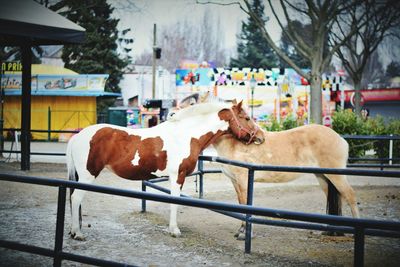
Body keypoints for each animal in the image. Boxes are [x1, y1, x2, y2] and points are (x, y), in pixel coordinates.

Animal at [67, 101, 264, 241]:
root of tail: (77, 136)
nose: (261, 137)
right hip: (88, 175)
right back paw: (78, 233)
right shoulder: (178, 176)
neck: (186, 135)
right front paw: (174, 230)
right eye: (246, 118)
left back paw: (74, 230)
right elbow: (174, 202)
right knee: (76, 198)